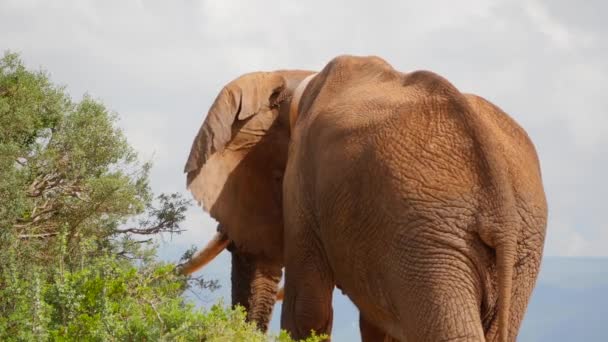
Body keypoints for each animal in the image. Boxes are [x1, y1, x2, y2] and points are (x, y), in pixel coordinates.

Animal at [178, 54, 548, 342]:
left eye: (274, 175)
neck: (299, 78)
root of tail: (501, 204)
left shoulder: (304, 181)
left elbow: (306, 309)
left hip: (429, 235)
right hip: (519, 245)